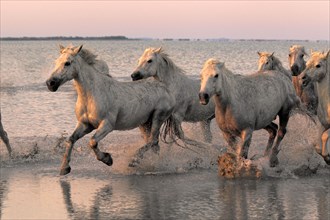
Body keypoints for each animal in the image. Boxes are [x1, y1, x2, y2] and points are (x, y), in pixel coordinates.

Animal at [46, 45, 177, 175]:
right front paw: (64, 168)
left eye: (67, 63)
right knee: (154, 145)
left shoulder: (107, 125)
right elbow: (71, 140)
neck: (91, 95)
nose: (50, 83)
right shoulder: (85, 124)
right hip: (145, 123)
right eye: (56, 62)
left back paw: (134, 161)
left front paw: (107, 159)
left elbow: (92, 142)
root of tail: (165, 87)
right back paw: (153, 165)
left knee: (152, 141)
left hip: (158, 117)